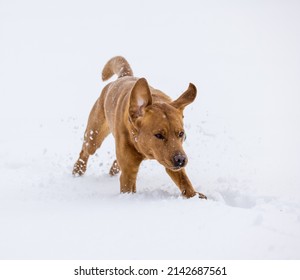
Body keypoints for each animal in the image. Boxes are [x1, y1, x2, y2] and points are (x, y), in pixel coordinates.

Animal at [73, 55, 206, 199]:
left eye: (181, 134)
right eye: (159, 135)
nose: (181, 159)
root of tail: (124, 76)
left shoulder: (172, 160)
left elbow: (184, 180)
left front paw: (194, 196)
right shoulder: (128, 172)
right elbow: (128, 187)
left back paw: (113, 168)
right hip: (94, 136)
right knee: (86, 150)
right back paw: (78, 169)